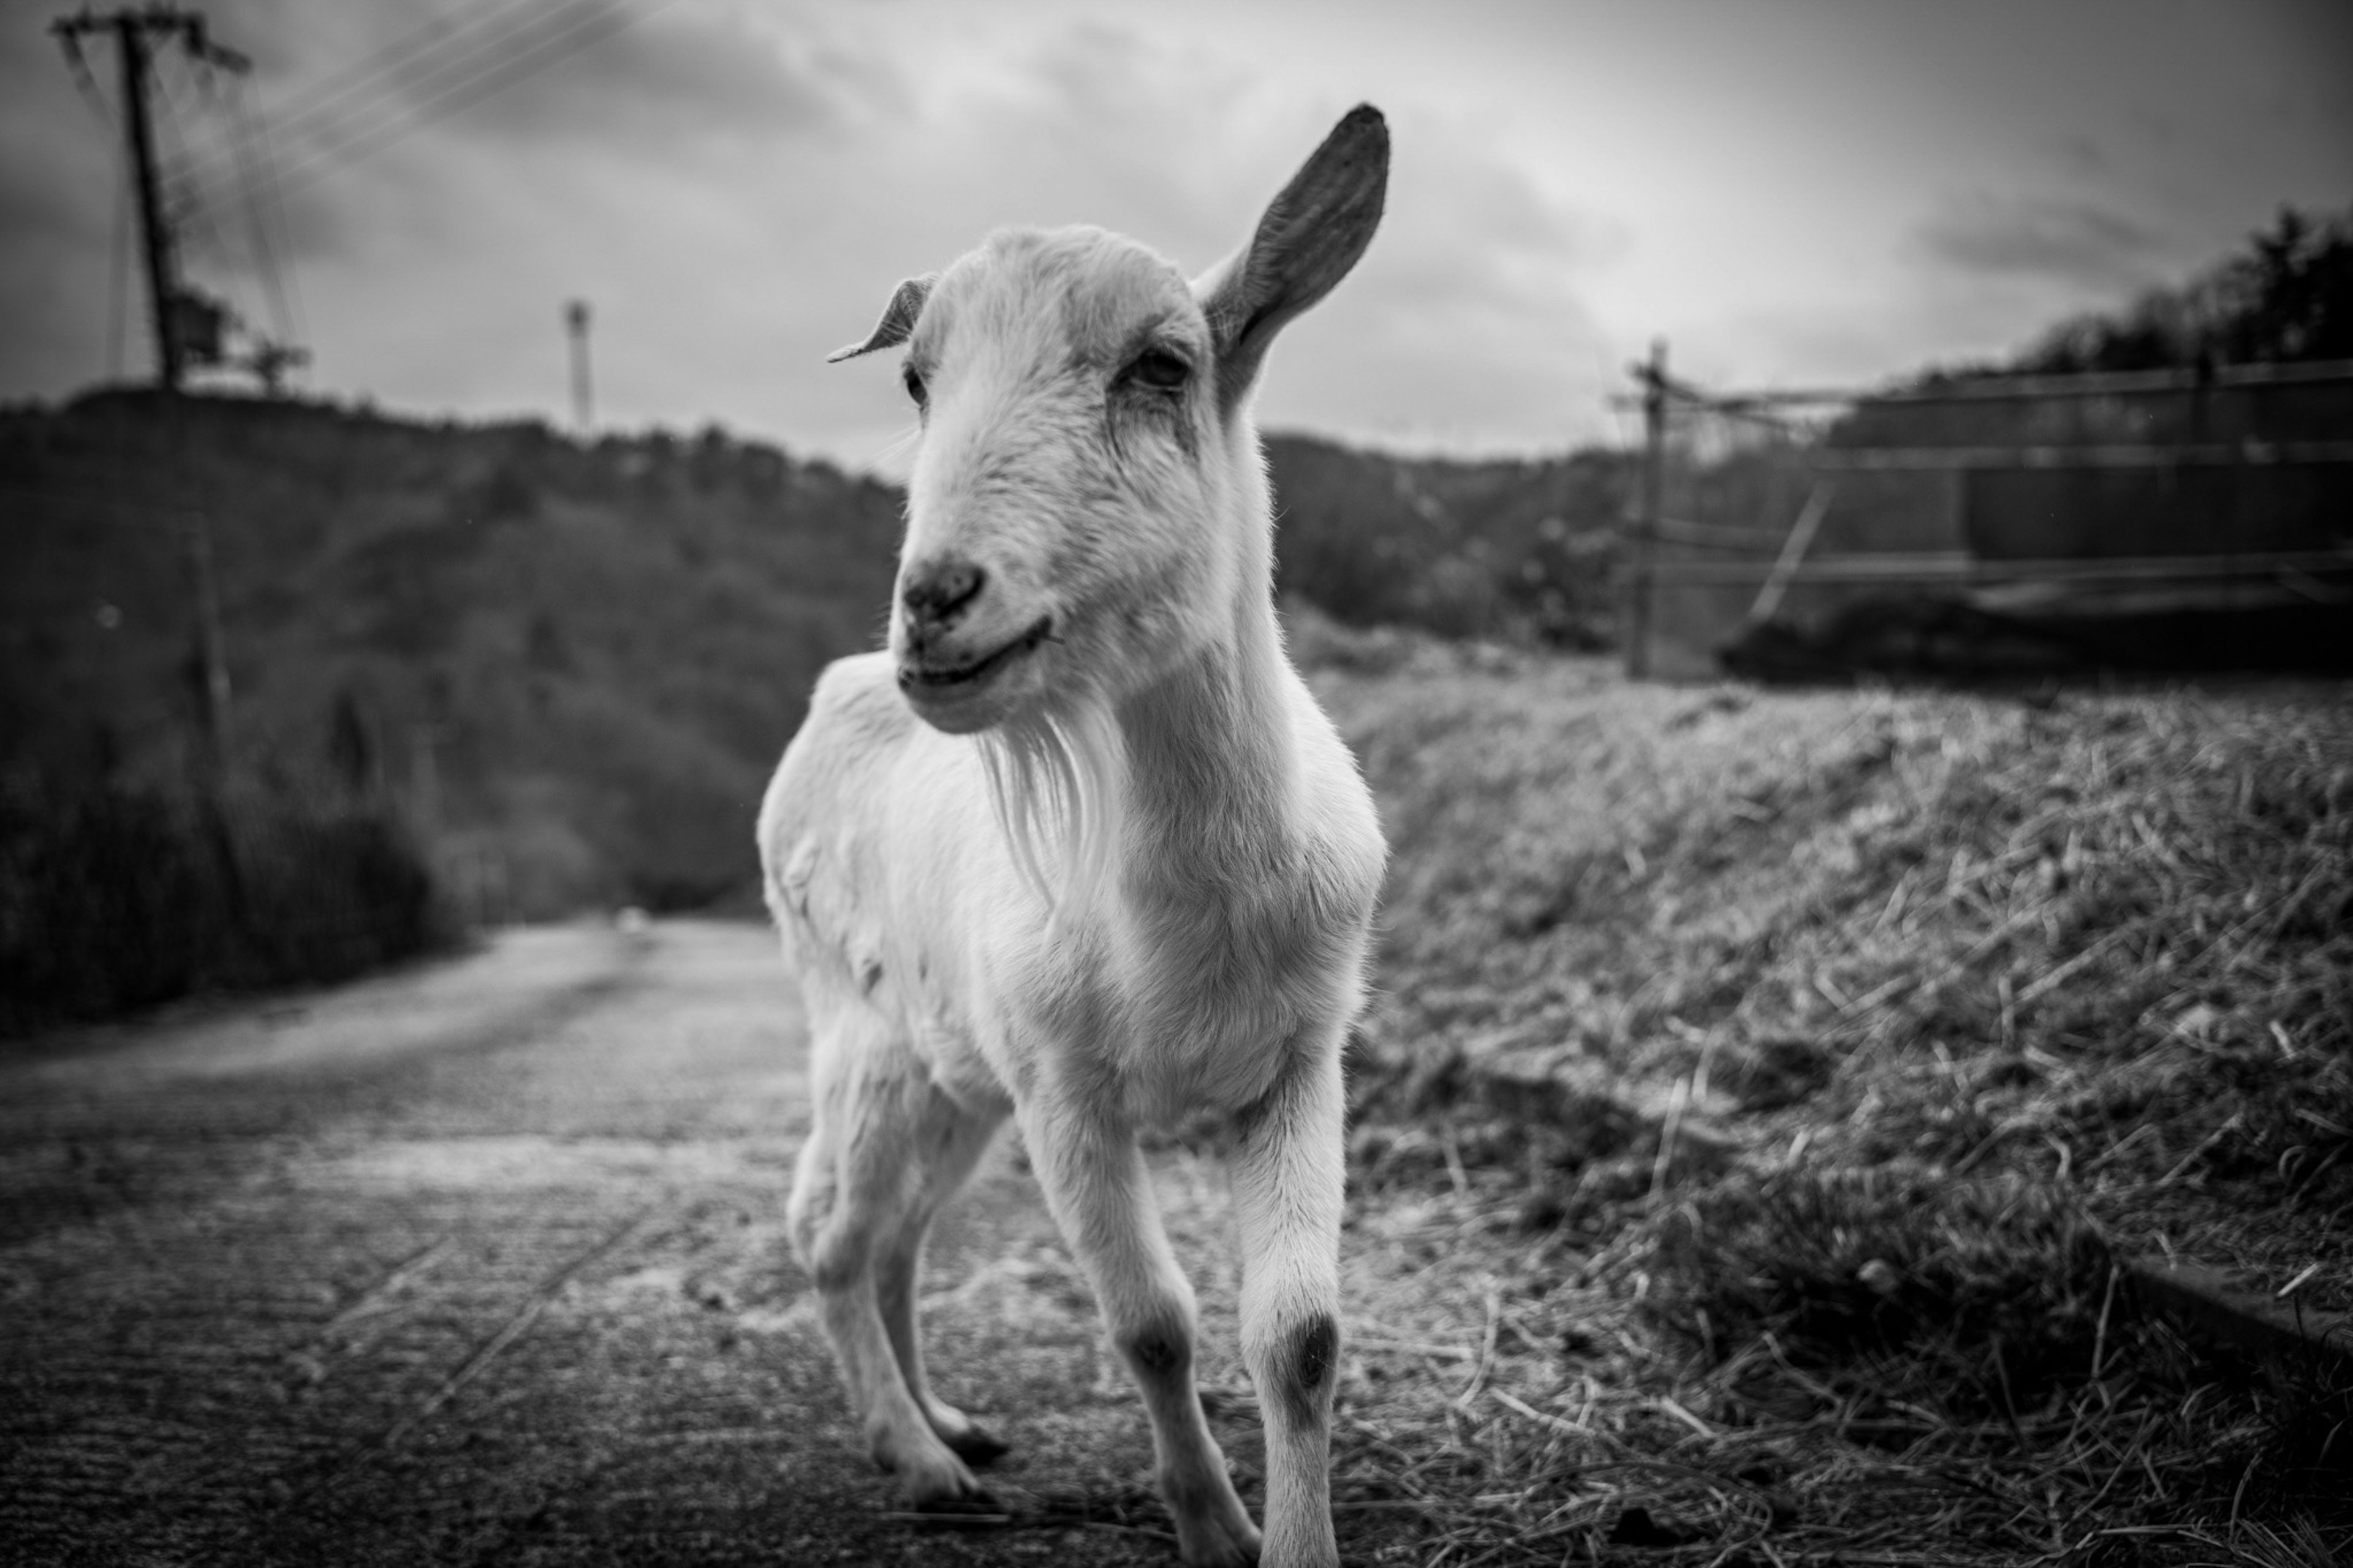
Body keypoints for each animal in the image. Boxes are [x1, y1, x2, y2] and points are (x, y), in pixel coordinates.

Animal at [762, 107, 1383, 1563]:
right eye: (916, 381)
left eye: (1162, 364)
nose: (935, 600)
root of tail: (832, 696)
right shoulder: (1063, 1086)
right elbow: (1151, 1320)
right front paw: (1211, 1526)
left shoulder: (1303, 1055)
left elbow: (1302, 1334)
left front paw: (1291, 1539)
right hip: (866, 1038)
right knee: (832, 1231)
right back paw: (921, 1462)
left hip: (955, 1078)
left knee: (899, 1234)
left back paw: (956, 1422)